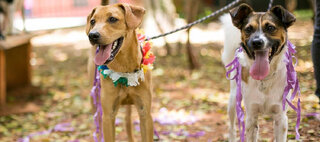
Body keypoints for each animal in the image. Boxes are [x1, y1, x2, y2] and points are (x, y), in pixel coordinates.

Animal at [86, 3, 154, 142]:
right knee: (98, 126)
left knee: (128, 122)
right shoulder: (108, 115)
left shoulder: (145, 113)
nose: (92, 35)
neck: (124, 67)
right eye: (92, 21)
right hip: (95, 99)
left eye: (112, 19)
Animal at [221, 3, 296, 142]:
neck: (265, 79)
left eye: (270, 28)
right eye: (248, 29)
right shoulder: (251, 116)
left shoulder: (281, 118)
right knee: (231, 127)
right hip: (233, 100)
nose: (256, 42)